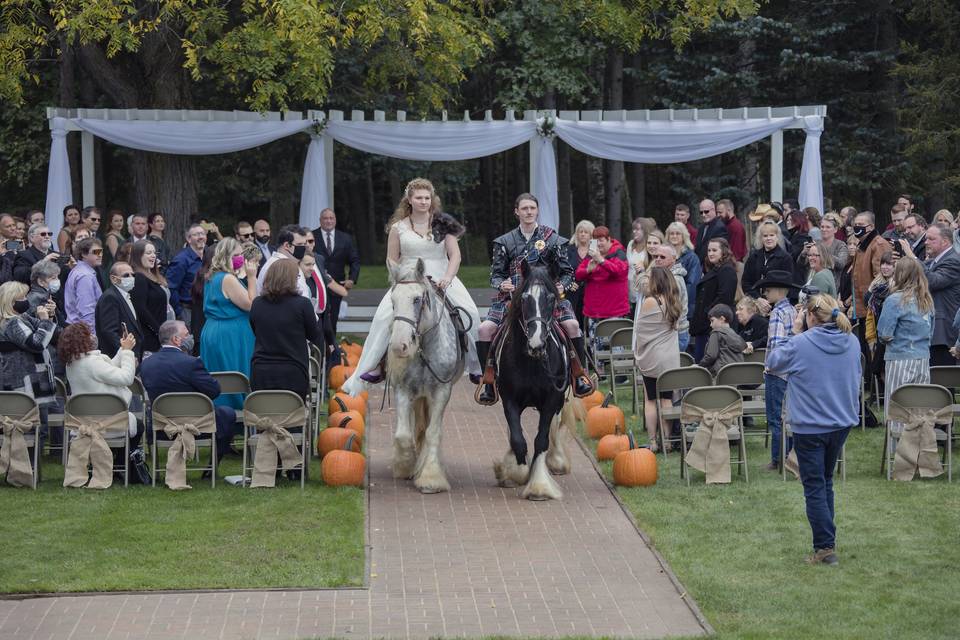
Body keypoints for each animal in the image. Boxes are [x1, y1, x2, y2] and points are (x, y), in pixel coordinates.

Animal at [388, 258, 466, 492]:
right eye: (392, 301)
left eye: (417, 299)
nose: (400, 346)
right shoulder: (403, 389)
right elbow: (403, 434)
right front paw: (405, 466)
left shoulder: (441, 391)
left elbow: (433, 432)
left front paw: (431, 477)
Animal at [492, 262, 572, 500]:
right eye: (525, 298)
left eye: (551, 298)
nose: (536, 343)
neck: (531, 363)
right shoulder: (510, 400)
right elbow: (518, 439)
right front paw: (516, 472)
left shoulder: (551, 399)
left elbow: (541, 440)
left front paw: (539, 486)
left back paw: (556, 461)